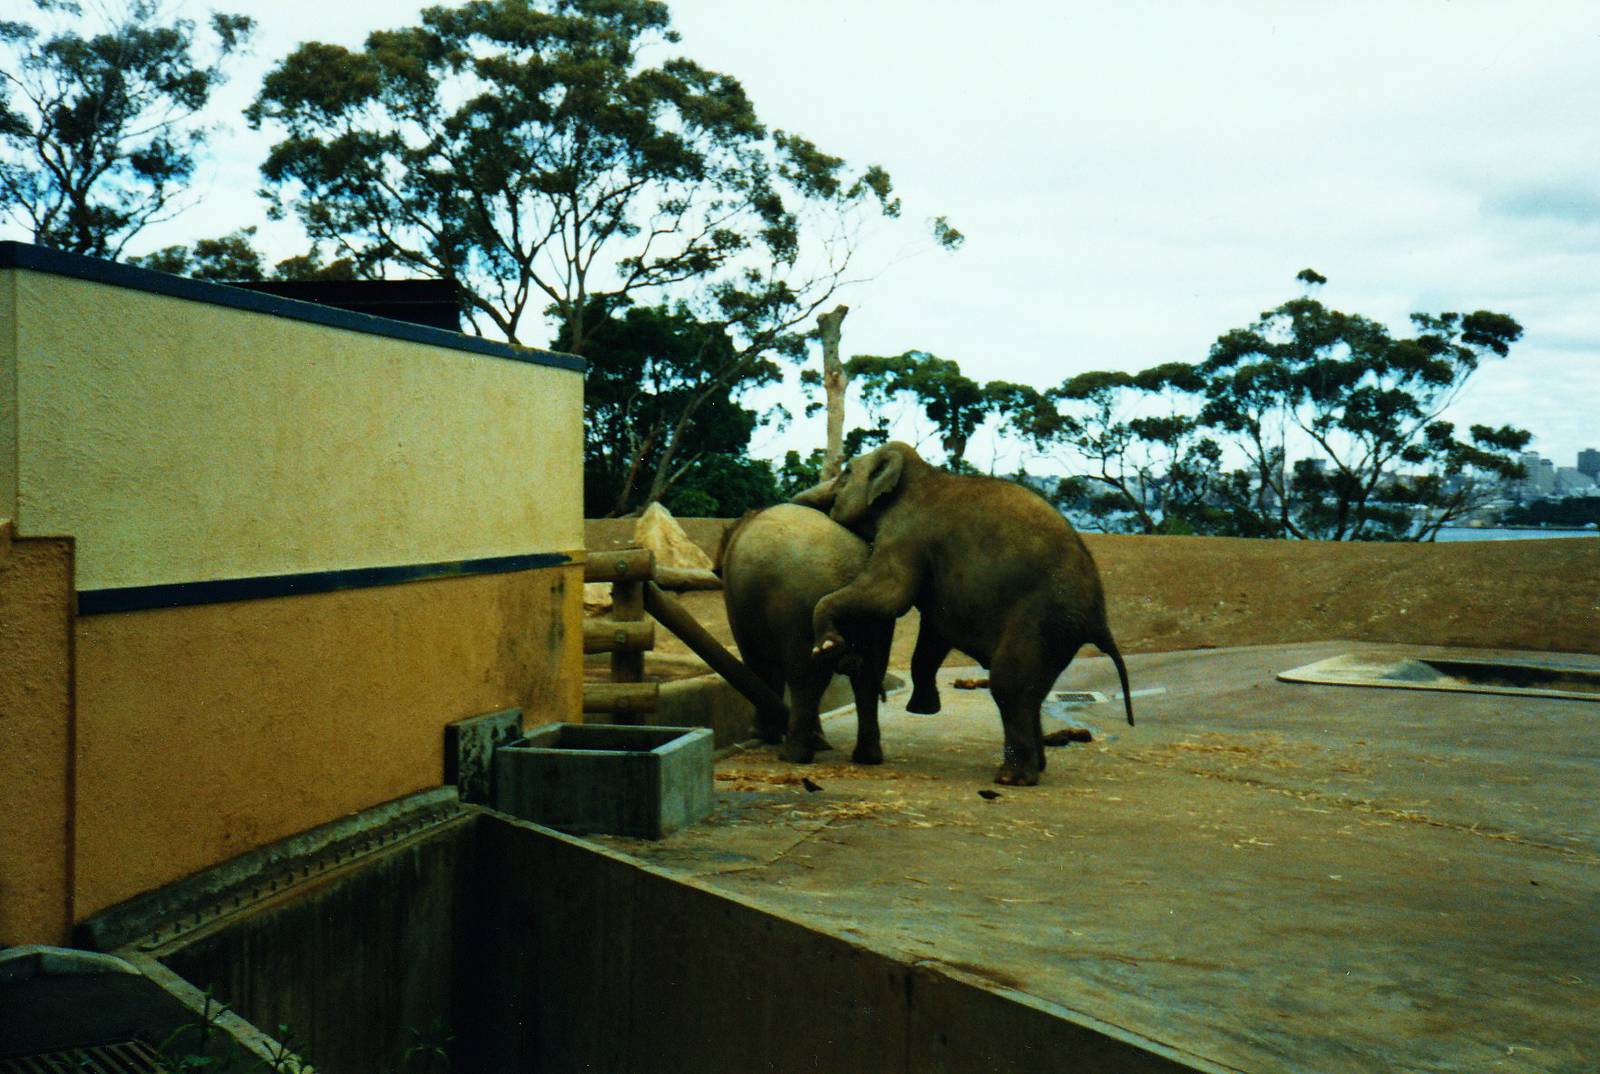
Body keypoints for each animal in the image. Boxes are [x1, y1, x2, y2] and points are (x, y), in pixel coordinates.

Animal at [718, 503, 897, 765]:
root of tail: (848, 572)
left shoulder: (737, 604)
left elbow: (759, 662)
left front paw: (762, 734)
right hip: (875, 611)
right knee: (868, 676)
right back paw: (866, 757)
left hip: (799, 606)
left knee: (805, 679)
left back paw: (793, 755)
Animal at [793, 441, 1133, 787]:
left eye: (846, 472)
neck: (920, 474)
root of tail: (1098, 617)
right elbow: (933, 631)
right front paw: (924, 708)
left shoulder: (905, 534)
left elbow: (891, 595)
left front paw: (827, 646)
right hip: (1058, 636)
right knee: (1032, 693)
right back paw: (1035, 767)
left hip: (1041, 620)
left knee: (1008, 684)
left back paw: (1011, 778)